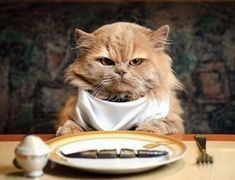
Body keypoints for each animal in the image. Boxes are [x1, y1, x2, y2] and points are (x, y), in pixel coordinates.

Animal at [56, 22, 185, 135]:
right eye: (106, 61)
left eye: (136, 61)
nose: (121, 71)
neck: (120, 102)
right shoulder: (72, 113)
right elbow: (71, 123)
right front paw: (67, 131)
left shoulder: (174, 120)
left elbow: (159, 122)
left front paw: (147, 130)